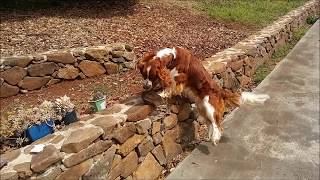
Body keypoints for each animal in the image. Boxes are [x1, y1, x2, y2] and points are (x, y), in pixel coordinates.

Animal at [136, 46, 268, 145]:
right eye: (144, 75)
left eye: (152, 77)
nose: (145, 86)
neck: (172, 57)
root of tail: (220, 91)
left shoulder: (179, 78)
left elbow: (171, 86)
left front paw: (163, 93)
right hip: (202, 107)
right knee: (210, 124)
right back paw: (209, 137)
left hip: (210, 107)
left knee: (217, 126)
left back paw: (215, 138)